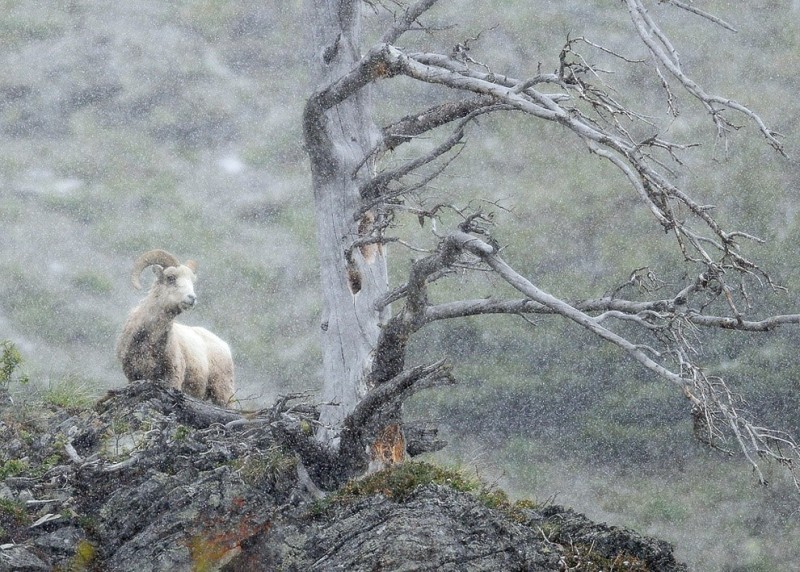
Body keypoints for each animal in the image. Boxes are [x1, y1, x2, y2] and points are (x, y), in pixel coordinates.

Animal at [115, 250, 234, 406]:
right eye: (171, 278)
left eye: (192, 281)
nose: (192, 298)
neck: (149, 340)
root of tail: (225, 346)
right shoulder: (133, 375)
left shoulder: (173, 378)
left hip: (223, 391)